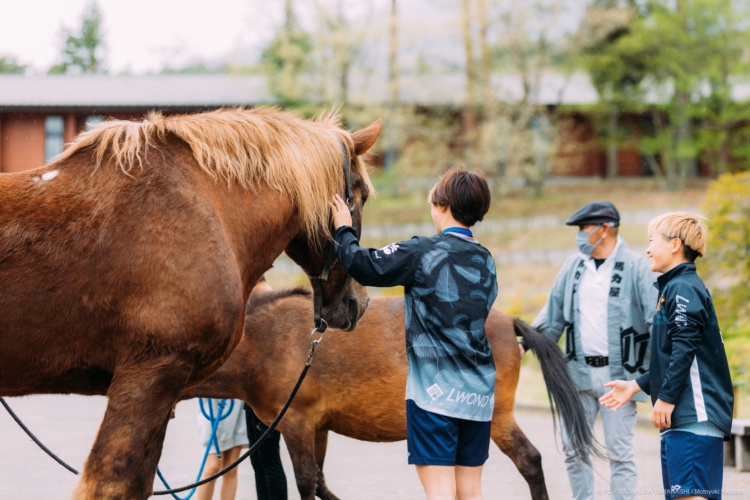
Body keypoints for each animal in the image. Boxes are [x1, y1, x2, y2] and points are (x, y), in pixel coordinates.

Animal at [185, 290, 596, 500]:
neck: (267, 339)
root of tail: (507, 321)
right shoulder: (318, 427)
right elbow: (320, 483)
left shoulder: (297, 424)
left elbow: (305, 481)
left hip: (494, 417)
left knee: (529, 460)